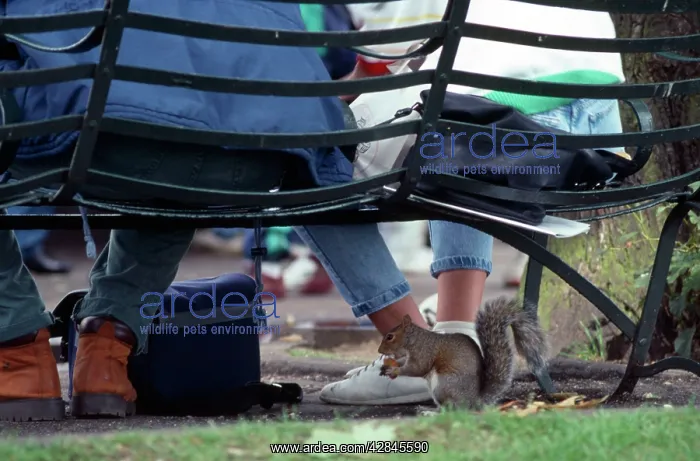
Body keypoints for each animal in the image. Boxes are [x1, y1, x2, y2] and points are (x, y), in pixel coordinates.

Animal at [377, 296, 548, 410]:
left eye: (390, 337)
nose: (379, 350)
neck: (414, 340)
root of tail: (473, 401)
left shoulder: (423, 353)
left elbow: (416, 368)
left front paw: (395, 370)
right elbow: (403, 362)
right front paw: (386, 368)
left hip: (443, 385)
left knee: (452, 409)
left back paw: (431, 411)